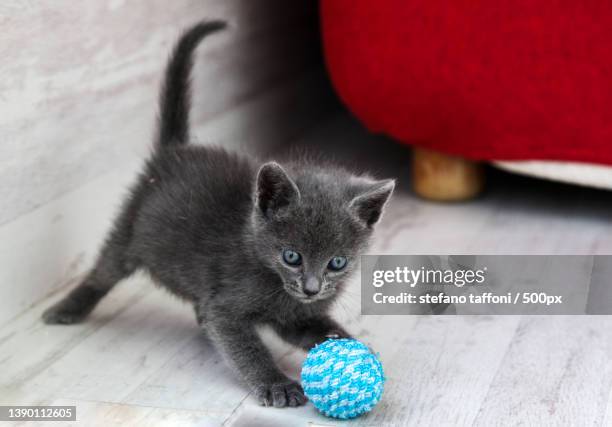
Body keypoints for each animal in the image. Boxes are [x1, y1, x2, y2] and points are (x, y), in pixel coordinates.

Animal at [44, 20, 396, 408]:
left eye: (337, 263)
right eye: (291, 256)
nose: (311, 288)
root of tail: (175, 150)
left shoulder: (296, 315)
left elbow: (313, 328)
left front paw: (355, 348)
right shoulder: (229, 307)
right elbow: (246, 347)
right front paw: (276, 384)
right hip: (130, 226)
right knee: (104, 271)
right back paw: (67, 308)